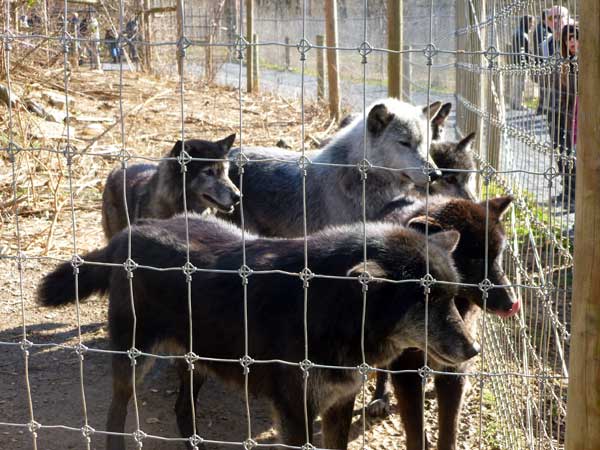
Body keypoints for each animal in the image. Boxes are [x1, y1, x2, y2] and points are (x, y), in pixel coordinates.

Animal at [37, 216, 480, 448]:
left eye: (453, 297)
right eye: (426, 302)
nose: (474, 351)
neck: (329, 306)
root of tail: (129, 234)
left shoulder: (339, 404)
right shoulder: (296, 411)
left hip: (199, 361)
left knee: (182, 409)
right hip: (135, 361)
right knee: (116, 412)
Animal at [364, 196, 516, 450]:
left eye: (498, 256)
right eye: (474, 259)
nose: (513, 303)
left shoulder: (454, 369)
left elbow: (449, 429)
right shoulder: (406, 369)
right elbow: (415, 430)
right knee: (382, 369)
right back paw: (379, 398)